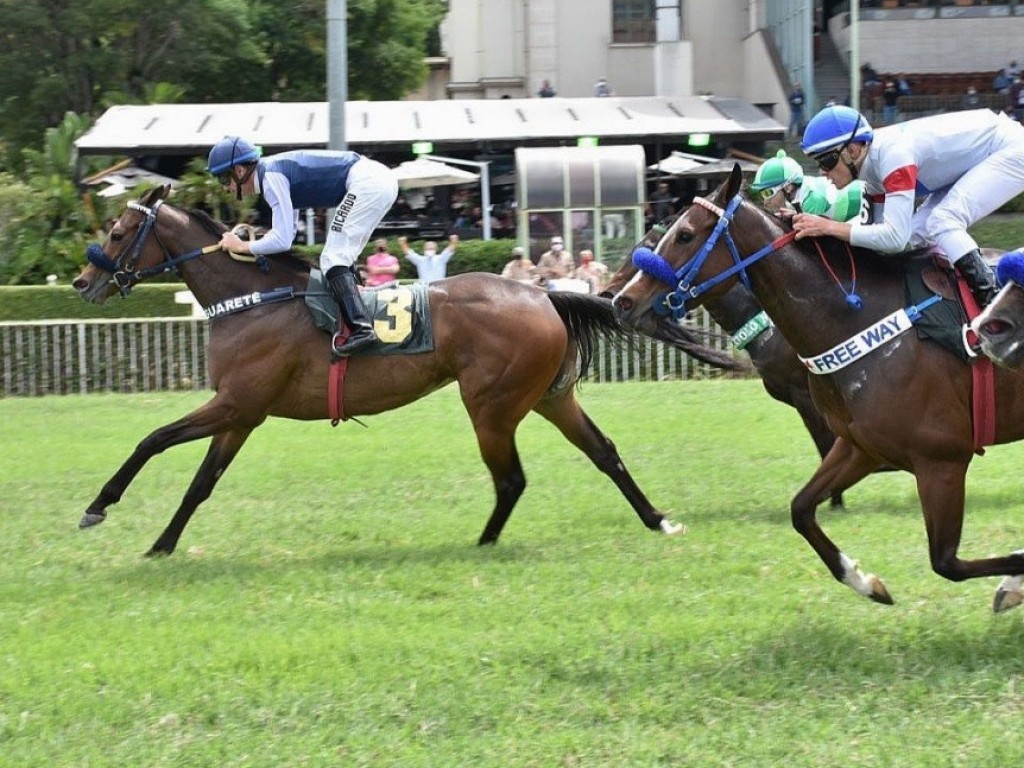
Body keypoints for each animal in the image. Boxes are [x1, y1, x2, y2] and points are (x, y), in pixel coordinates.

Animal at [72, 186, 733, 561]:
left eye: (119, 231)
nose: (83, 281)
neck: (255, 300)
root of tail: (543, 294)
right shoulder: (241, 414)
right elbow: (199, 484)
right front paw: (162, 544)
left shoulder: (237, 404)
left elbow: (152, 440)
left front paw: (99, 506)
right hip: (549, 397)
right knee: (604, 452)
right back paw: (658, 520)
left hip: (491, 405)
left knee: (511, 478)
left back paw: (483, 543)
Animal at [610, 166, 1024, 614]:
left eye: (684, 235)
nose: (620, 300)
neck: (858, 321)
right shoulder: (861, 445)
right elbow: (801, 508)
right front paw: (867, 582)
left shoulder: (941, 459)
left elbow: (946, 562)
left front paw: (1013, 582)